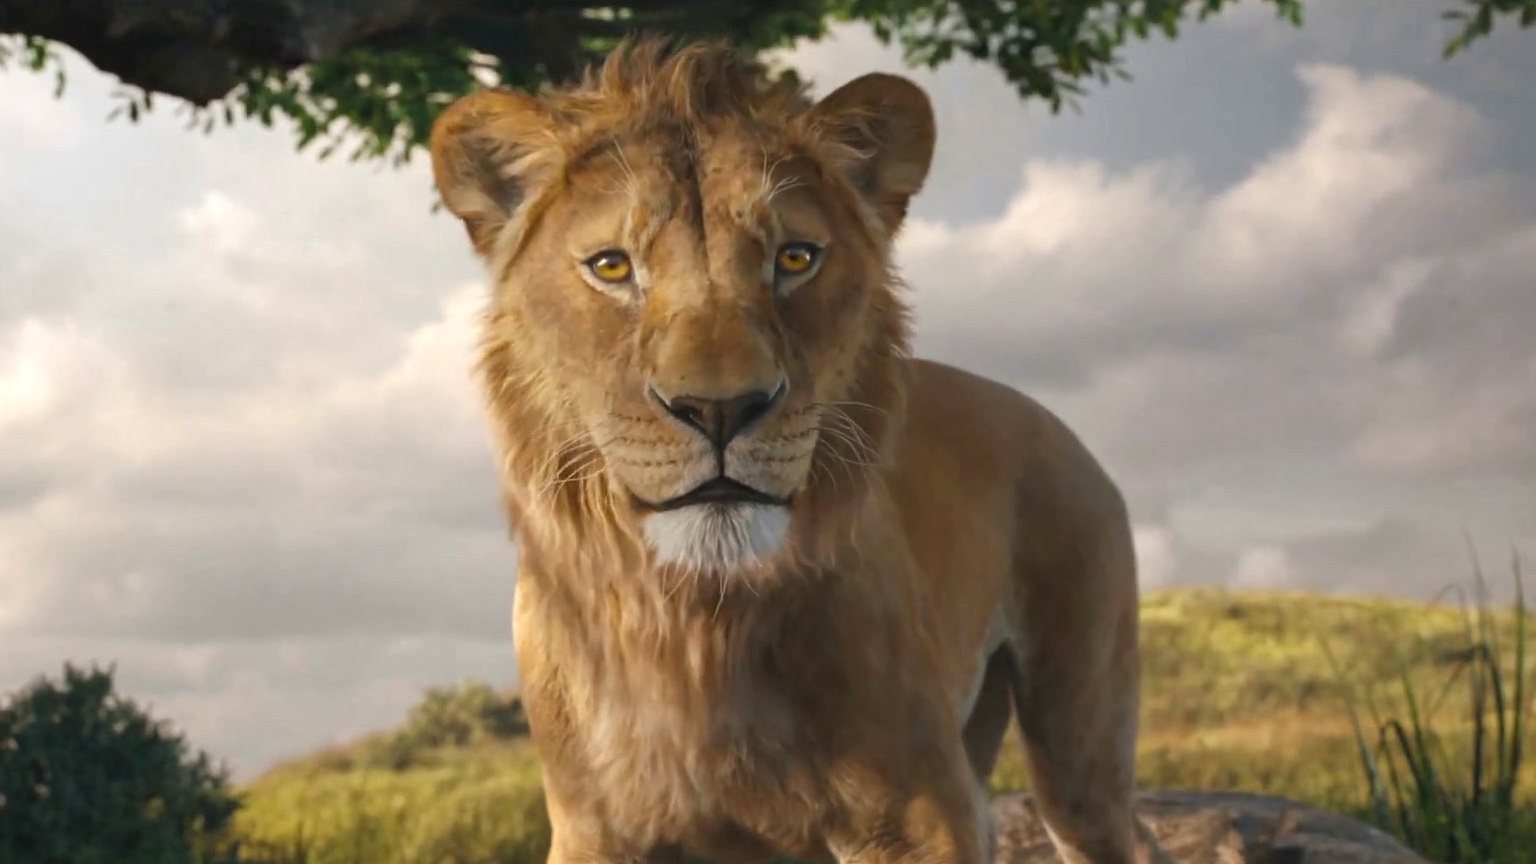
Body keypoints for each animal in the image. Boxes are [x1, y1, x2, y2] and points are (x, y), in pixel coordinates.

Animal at [428, 37, 1149, 864]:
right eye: (612, 266)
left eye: (796, 259)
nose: (720, 408)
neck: (696, 624)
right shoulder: (593, 828)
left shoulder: (919, 813)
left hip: (1079, 739)